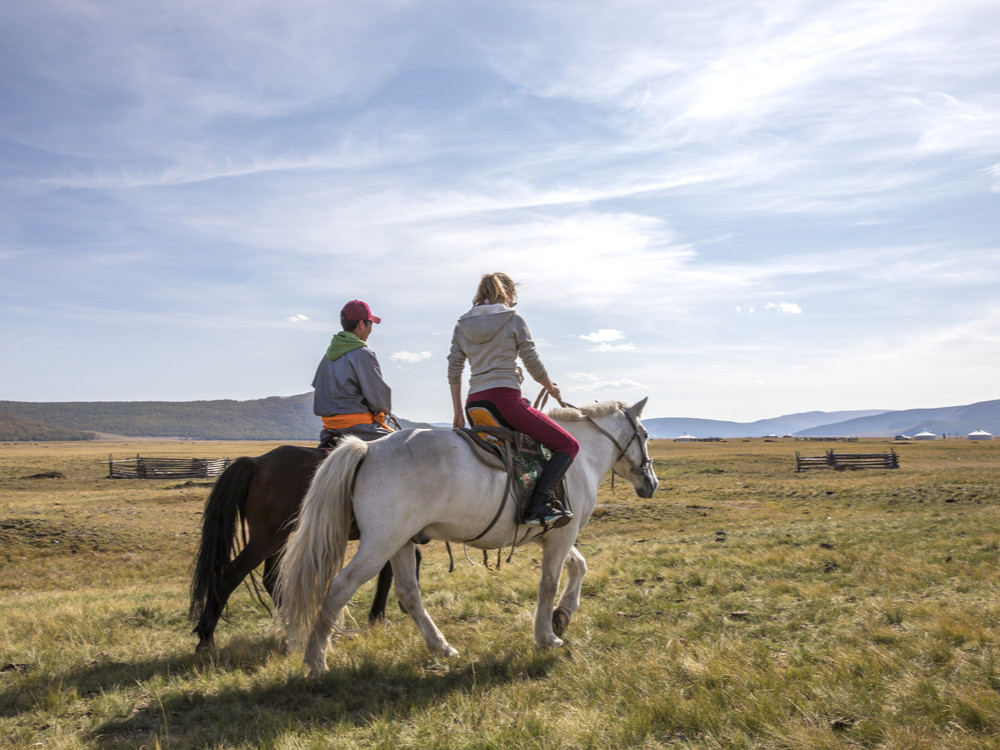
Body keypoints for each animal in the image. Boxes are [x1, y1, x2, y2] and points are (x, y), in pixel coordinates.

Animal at [188, 446, 402, 652]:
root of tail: (256, 462)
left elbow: (389, 572)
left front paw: (383, 614)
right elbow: (390, 574)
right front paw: (381, 616)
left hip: (278, 540)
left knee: (271, 579)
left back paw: (295, 625)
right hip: (266, 540)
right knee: (231, 575)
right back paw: (206, 638)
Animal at [278, 400, 660, 676]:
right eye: (644, 434)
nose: (651, 483)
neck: (580, 461)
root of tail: (368, 449)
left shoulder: (553, 533)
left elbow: (578, 566)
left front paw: (562, 616)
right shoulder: (561, 534)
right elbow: (549, 583)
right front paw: (547, 636)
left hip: (401, 542)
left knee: (408, 593)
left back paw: (441, 647)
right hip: (379, 543)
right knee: (341, 587)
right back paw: (316, 659)